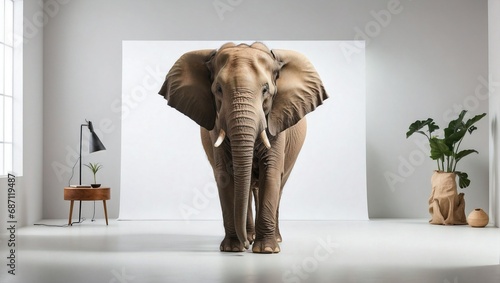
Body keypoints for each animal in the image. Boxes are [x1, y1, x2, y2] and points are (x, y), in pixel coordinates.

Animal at [159, 41, 328, 253]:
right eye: (218, 89)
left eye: (265, 90)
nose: (247, 244)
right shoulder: (217, 124)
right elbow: (225, 176)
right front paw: (233, 248)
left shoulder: (276, 122)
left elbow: (271, 173)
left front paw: (266, 250)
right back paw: (250, 235)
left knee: (278, 185)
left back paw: (274, 239)